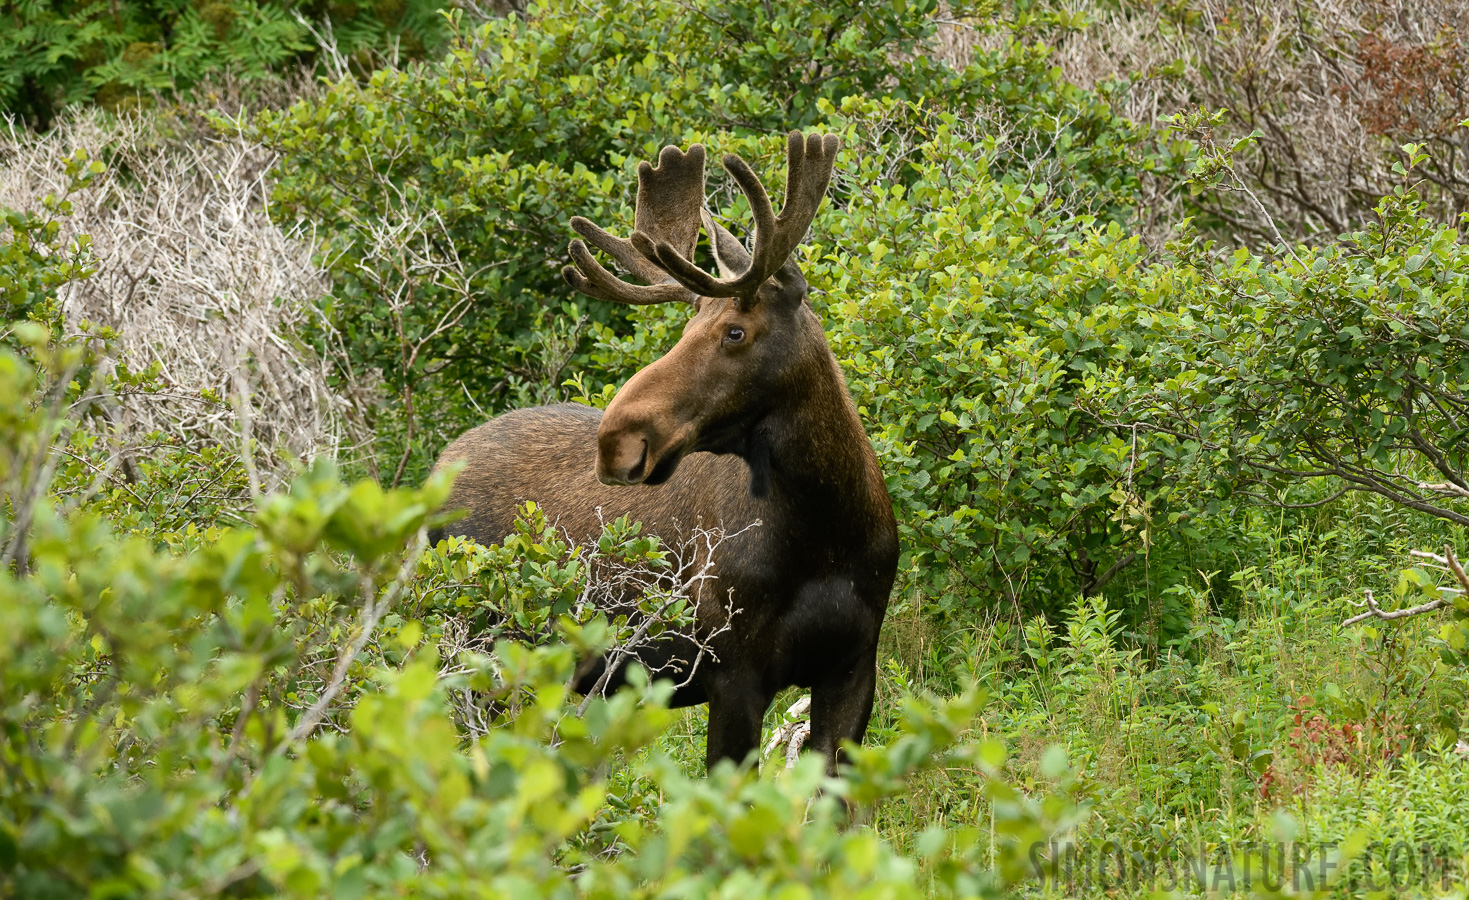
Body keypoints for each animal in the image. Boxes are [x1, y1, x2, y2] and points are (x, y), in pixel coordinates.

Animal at [428, 133, 899, 769]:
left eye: (735, 331)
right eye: (684, 330)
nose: (616, 439)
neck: (827, 531)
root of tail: (432, 470)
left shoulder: (853, 668)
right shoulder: (732, 673)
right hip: (473, 642)